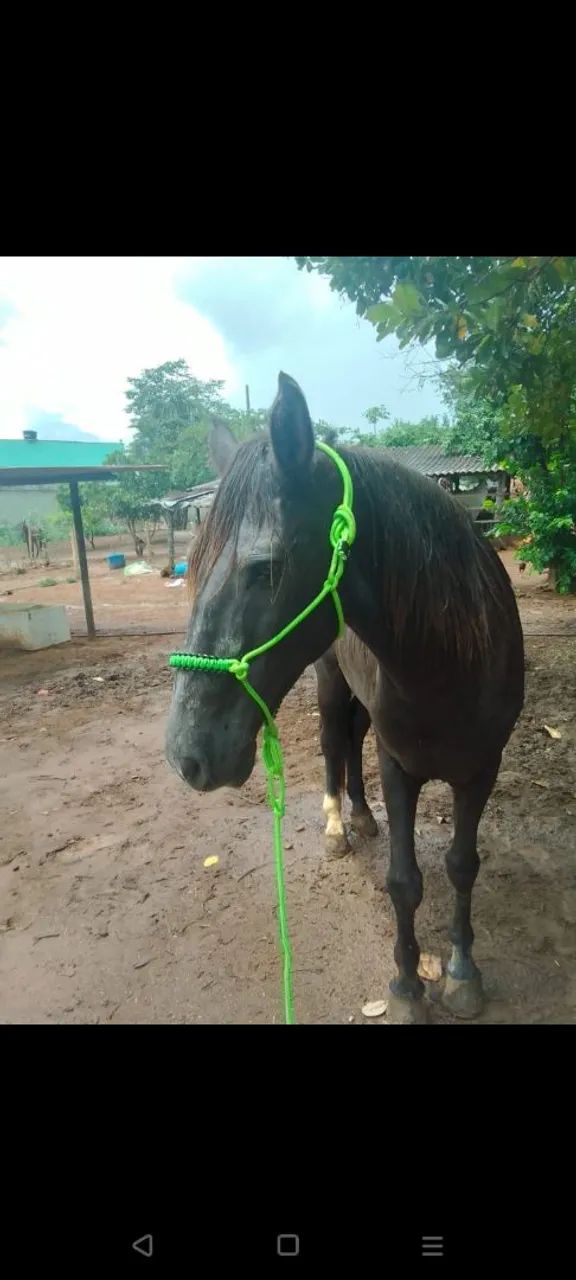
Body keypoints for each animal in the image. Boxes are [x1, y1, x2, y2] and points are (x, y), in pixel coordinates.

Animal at [166, 372, 525, 1024]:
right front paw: (406, 986)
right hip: (332, 684)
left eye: (267, 569)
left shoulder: (482, 767)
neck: (448, 665)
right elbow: (405, 882)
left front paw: (462, 974)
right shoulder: (399, 764)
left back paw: (361, 816)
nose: (187, 756)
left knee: (352, 745)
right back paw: (338, 826)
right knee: (336, 743)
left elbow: (462, 867)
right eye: (195, 567)